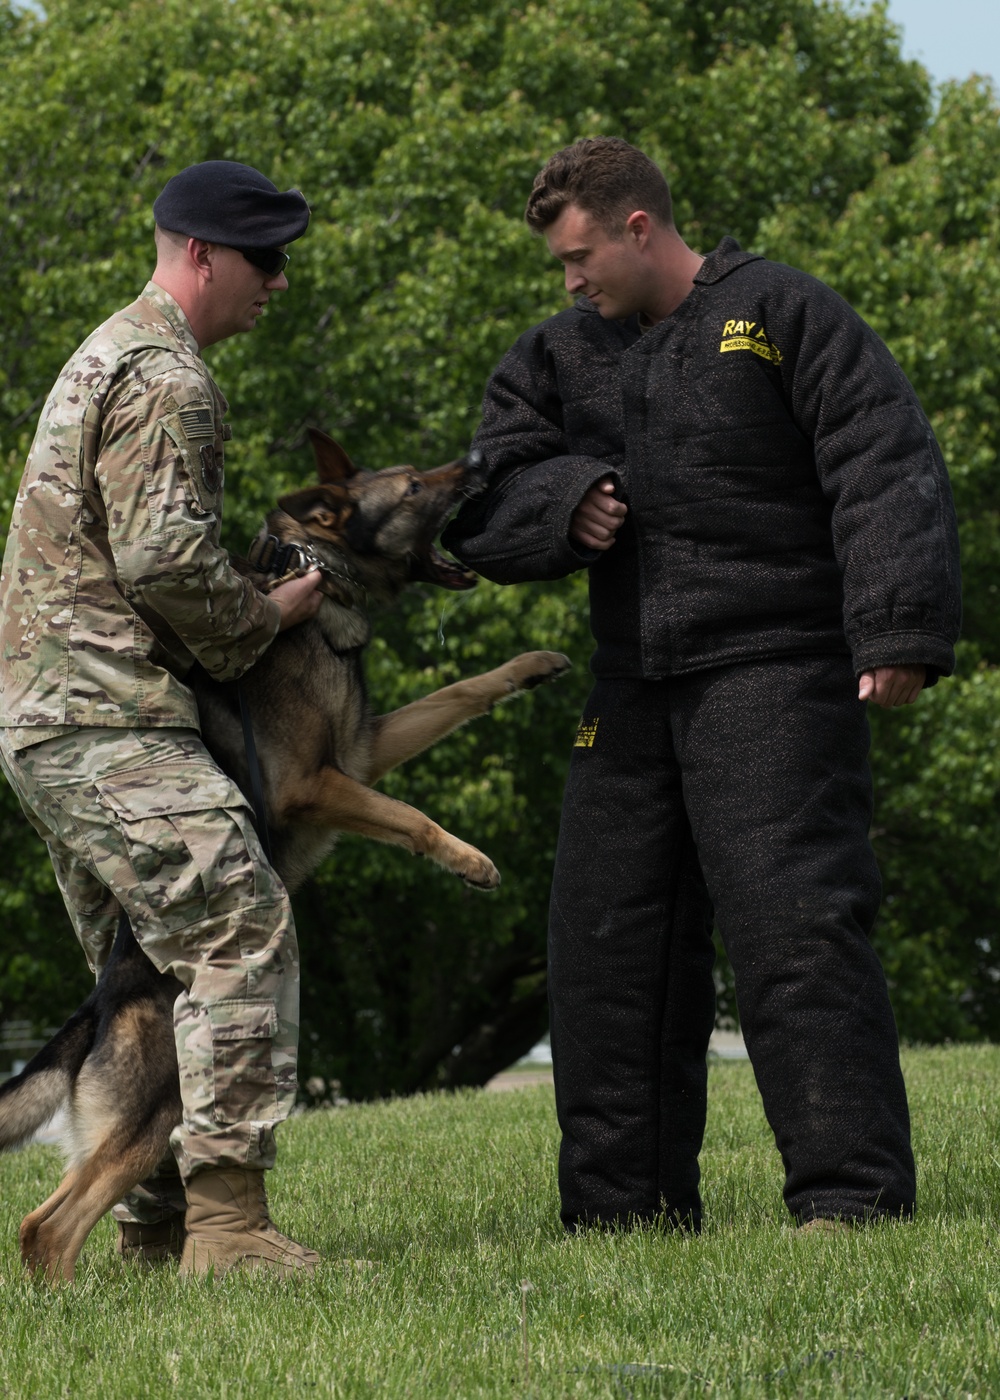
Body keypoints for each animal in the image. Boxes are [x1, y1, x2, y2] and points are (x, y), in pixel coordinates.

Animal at [0, 428, 568, 1282]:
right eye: (411, 486)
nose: (478, 464)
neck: (319, 578)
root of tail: (99, 1005)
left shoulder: (363, 753)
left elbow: (463, 691)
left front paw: (534, 664)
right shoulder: (316, 783)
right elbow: (409, 816)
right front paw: (470, 861)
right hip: (159, 1107)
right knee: (47, 1226)